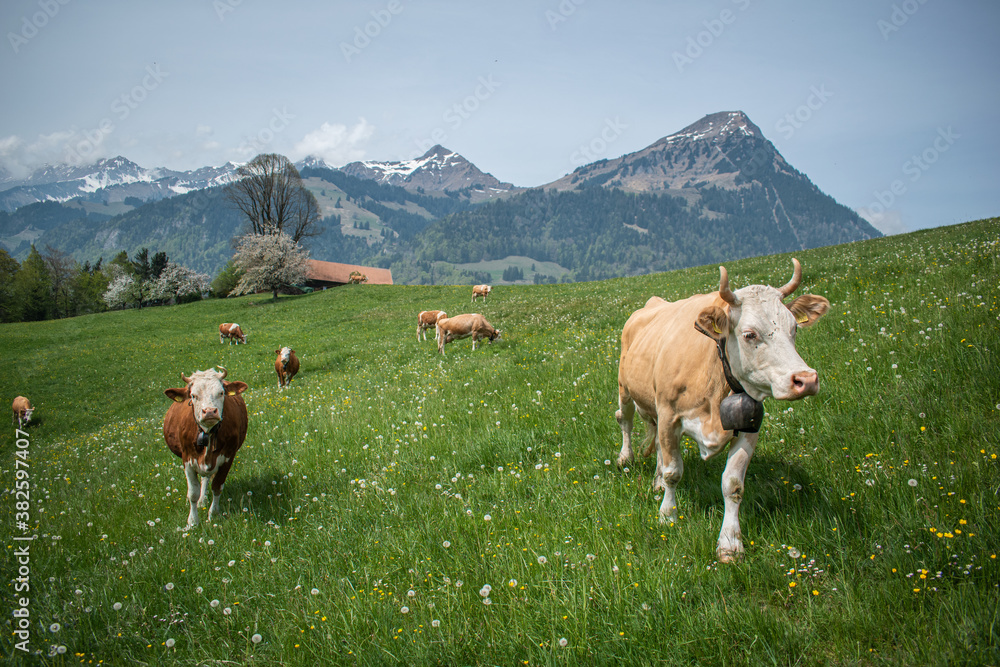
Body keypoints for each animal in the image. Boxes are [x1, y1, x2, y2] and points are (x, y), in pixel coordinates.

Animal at [163, 366, 249, 528]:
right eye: (193, 395)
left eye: (221, 393)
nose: (209, 411)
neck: (207, 432)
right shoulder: (187, 459)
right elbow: (193, 492)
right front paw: (192, 522)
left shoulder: (227, 457)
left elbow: (217, 486)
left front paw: (213, 515)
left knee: (206, 478)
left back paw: (203, 500)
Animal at [616, 260, 828, 564]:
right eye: (749, 334)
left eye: (794, 330)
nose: (806, 379)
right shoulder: (669, 415)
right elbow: (673, 471)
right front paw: (667, 516)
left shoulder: (749, 425)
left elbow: (733, 485)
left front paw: (729, 543)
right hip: (625, 388)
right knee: (626, 420)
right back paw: (625, 458)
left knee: (656, 443)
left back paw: (655, 483)